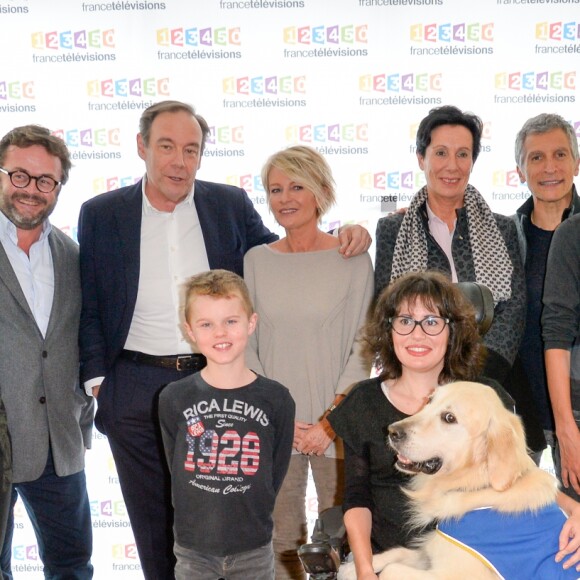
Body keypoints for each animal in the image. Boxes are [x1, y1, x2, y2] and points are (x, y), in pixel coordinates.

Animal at [340, 382, 576, 576]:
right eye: (429, 401)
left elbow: (393, 569)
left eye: (449, 418)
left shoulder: (452, 572)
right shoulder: (433, 550)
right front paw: (353, 568)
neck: (476, 485)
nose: (392, 431)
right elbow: (398, 552)